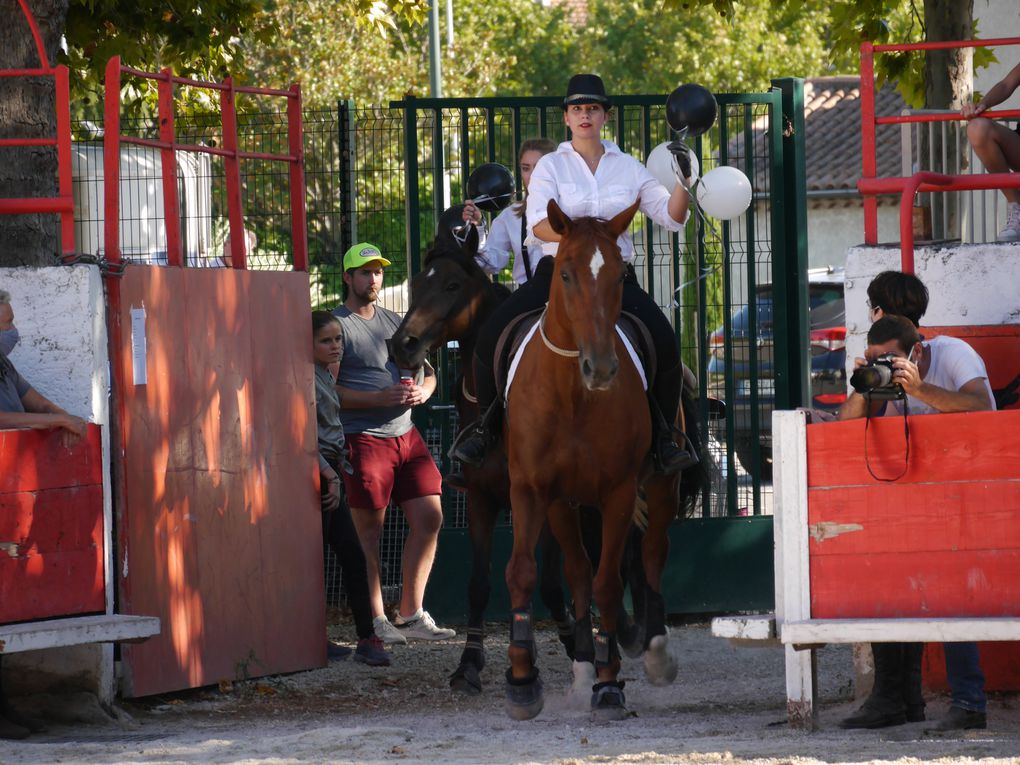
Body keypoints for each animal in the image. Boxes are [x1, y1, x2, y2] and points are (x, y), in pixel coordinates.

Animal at [501, 198, 701, 726]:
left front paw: (610, 685)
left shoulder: (617, 493)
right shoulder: (535, 491)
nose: (603, 368)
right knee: (577, 571)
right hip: (568, 504)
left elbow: (609, 583)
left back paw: (654, 653)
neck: (574, 394)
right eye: (566, 273)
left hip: (660, 486)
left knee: (651, 552)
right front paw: (523, 680)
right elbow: (526, 571)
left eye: (618, 275)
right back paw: (583, 669)